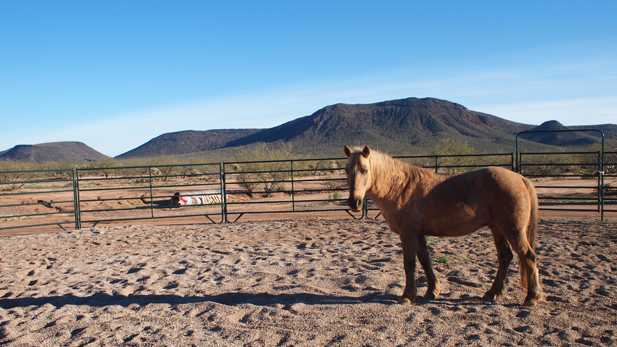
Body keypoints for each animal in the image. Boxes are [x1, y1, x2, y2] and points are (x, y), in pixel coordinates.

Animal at [344, 145, 540, 308]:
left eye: (365, 170)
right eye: (346, 170)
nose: (354, 202)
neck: (400, 188)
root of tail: (521, 178)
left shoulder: (408, 233)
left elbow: (409, 264)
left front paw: (407, 296)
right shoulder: (419, 234)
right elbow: (425, 261)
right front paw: (432, 291)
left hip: (513, 230)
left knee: (528, 256)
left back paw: (532, 297)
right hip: (497, 228)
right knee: (505, 257)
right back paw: (492, 293)